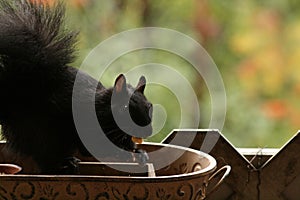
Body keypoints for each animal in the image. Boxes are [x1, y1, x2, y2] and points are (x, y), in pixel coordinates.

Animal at [0, 0, 152, 173]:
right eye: (124, 108)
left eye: (149, 106)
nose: (147, 131)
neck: (103, 108)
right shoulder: (89, 129)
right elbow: (98, 149)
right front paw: (125, 154)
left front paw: (140, 153)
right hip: (41, 132)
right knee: (46, 160)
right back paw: (63, 165)